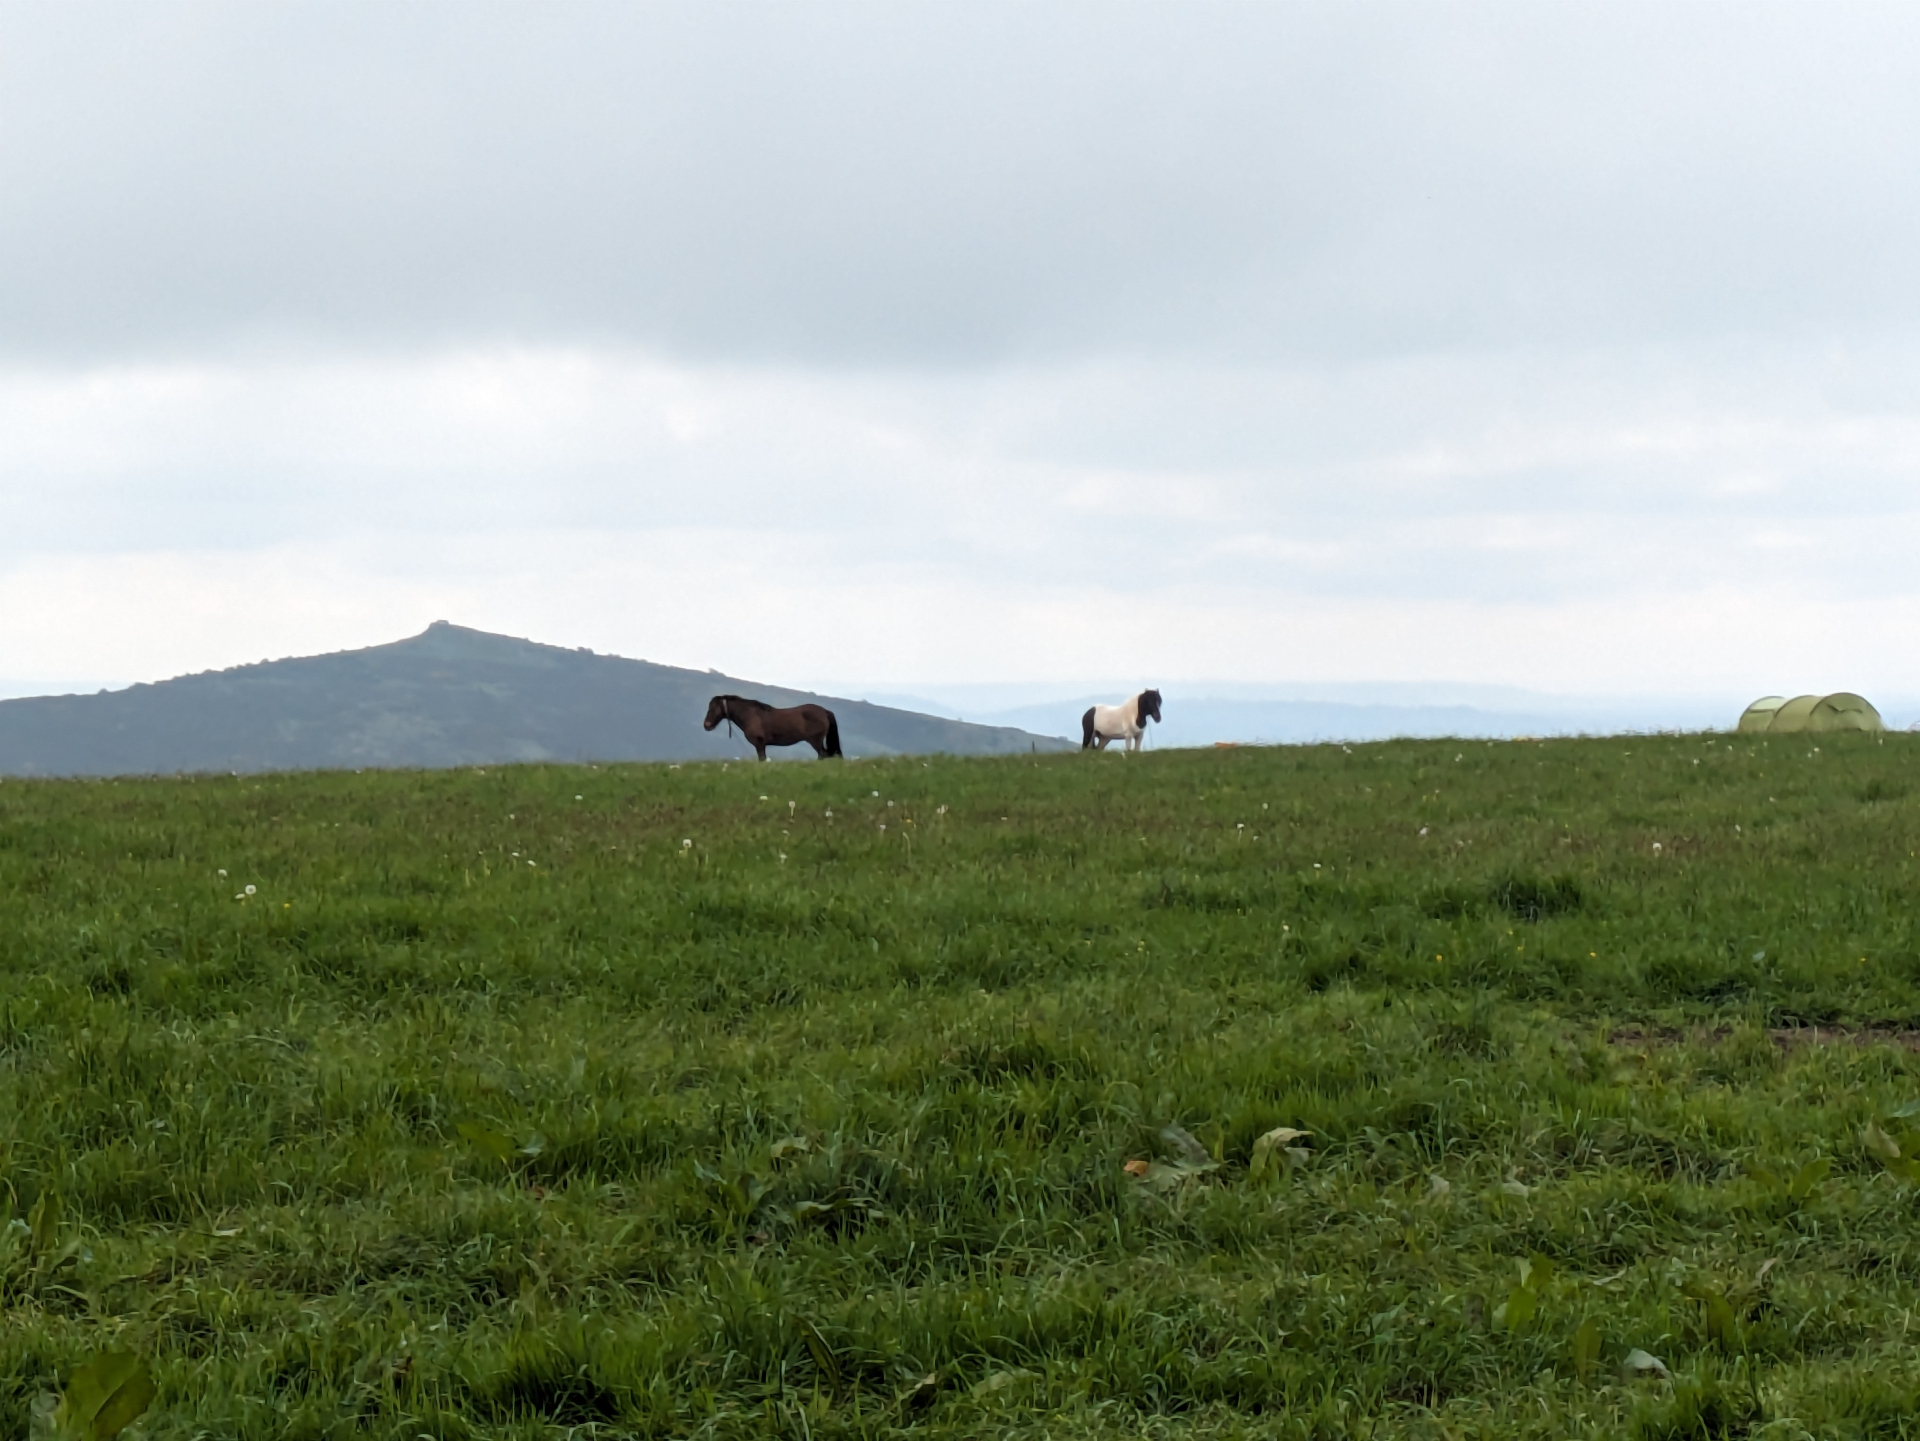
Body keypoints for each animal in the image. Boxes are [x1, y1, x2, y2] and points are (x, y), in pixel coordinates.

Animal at [703, 695, 843, 761]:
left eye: (713, 708)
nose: (706, 725)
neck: (750, 714)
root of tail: (825, 711)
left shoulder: (759, 744)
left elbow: (761, 759)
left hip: (815, 740)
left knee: (823, 755)